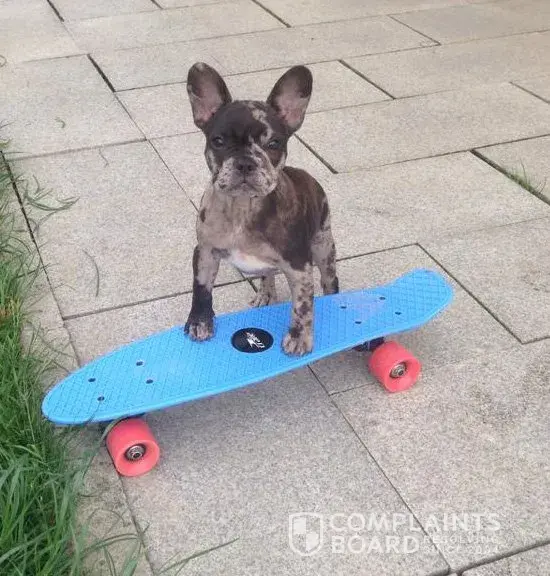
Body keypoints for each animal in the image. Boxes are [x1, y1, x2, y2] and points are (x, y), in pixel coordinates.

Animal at [184, 62, 339, 356]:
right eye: (218, 141)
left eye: (274, 143)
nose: (245, 162)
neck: (243, 208)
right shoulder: (205, 252)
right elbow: (201, 289)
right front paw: (199, 321)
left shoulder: (299, 267)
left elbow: (302, 305)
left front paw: (299, 337)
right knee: (267, 274)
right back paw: (265, 293)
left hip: (324, 246)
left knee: (329, 280)